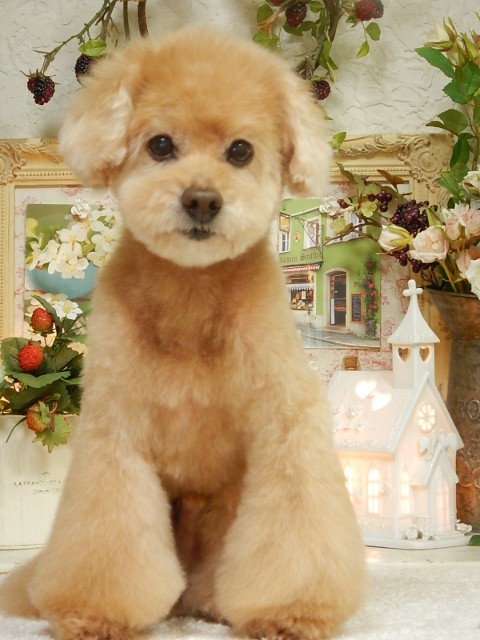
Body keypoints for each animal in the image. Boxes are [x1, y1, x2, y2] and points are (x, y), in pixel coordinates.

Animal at [0, 28, 366, 640]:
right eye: (161, 144)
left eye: (240, 151)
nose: (201, 199)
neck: (191, 293)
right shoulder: (114, 431)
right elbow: (107, 533)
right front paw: (96, 613)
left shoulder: (283, 422)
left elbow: (295, 528)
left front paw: (289, 612)